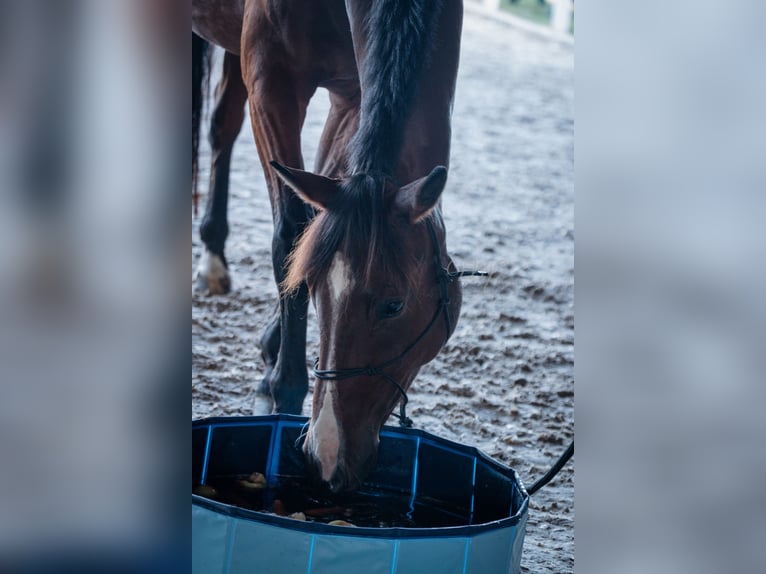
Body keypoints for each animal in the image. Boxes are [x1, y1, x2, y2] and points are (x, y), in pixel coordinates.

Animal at [195, 1, 464, 496]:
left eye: (394, 306)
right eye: (316, 290)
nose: (325, 453)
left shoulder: (351, 95)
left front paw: (274, 346)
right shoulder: (271, 75)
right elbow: (292, 232)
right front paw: (282, 388)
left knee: (224, 122)